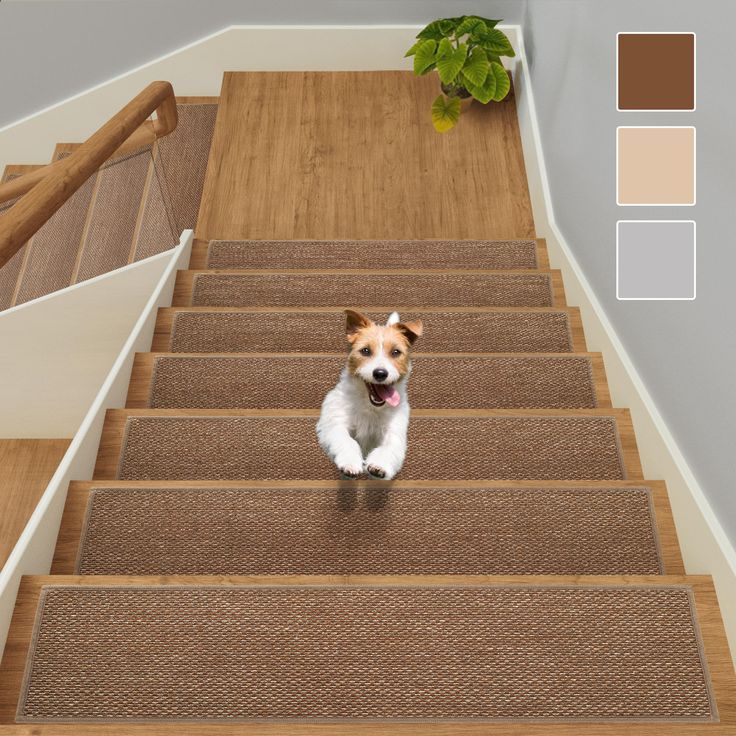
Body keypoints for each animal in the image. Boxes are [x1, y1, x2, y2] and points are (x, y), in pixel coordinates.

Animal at [314, 310, 420, 484]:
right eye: (365, 351)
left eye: (396, 352)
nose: (380, 373)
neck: (369, 406)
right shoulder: (335, 424)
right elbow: (347, 441)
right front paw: (350, 463)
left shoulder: (394, 432)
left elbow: (388, 448)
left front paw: (379, 466)